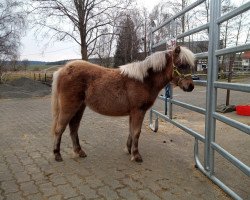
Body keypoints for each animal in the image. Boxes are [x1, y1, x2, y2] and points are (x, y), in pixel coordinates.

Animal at [51, 45, 195, 162]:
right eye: (181, 65)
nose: (190, 86)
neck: (144, 80)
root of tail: (63, 69)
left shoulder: (133, 112)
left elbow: (131, 131)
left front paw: (129, 150)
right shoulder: (138, 111)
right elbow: (136, 132)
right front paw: (136, 155)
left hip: (79, 107)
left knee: (73, 128)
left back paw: (79, 151)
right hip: (69, 107)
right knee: (60, 128)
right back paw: (57, 154)